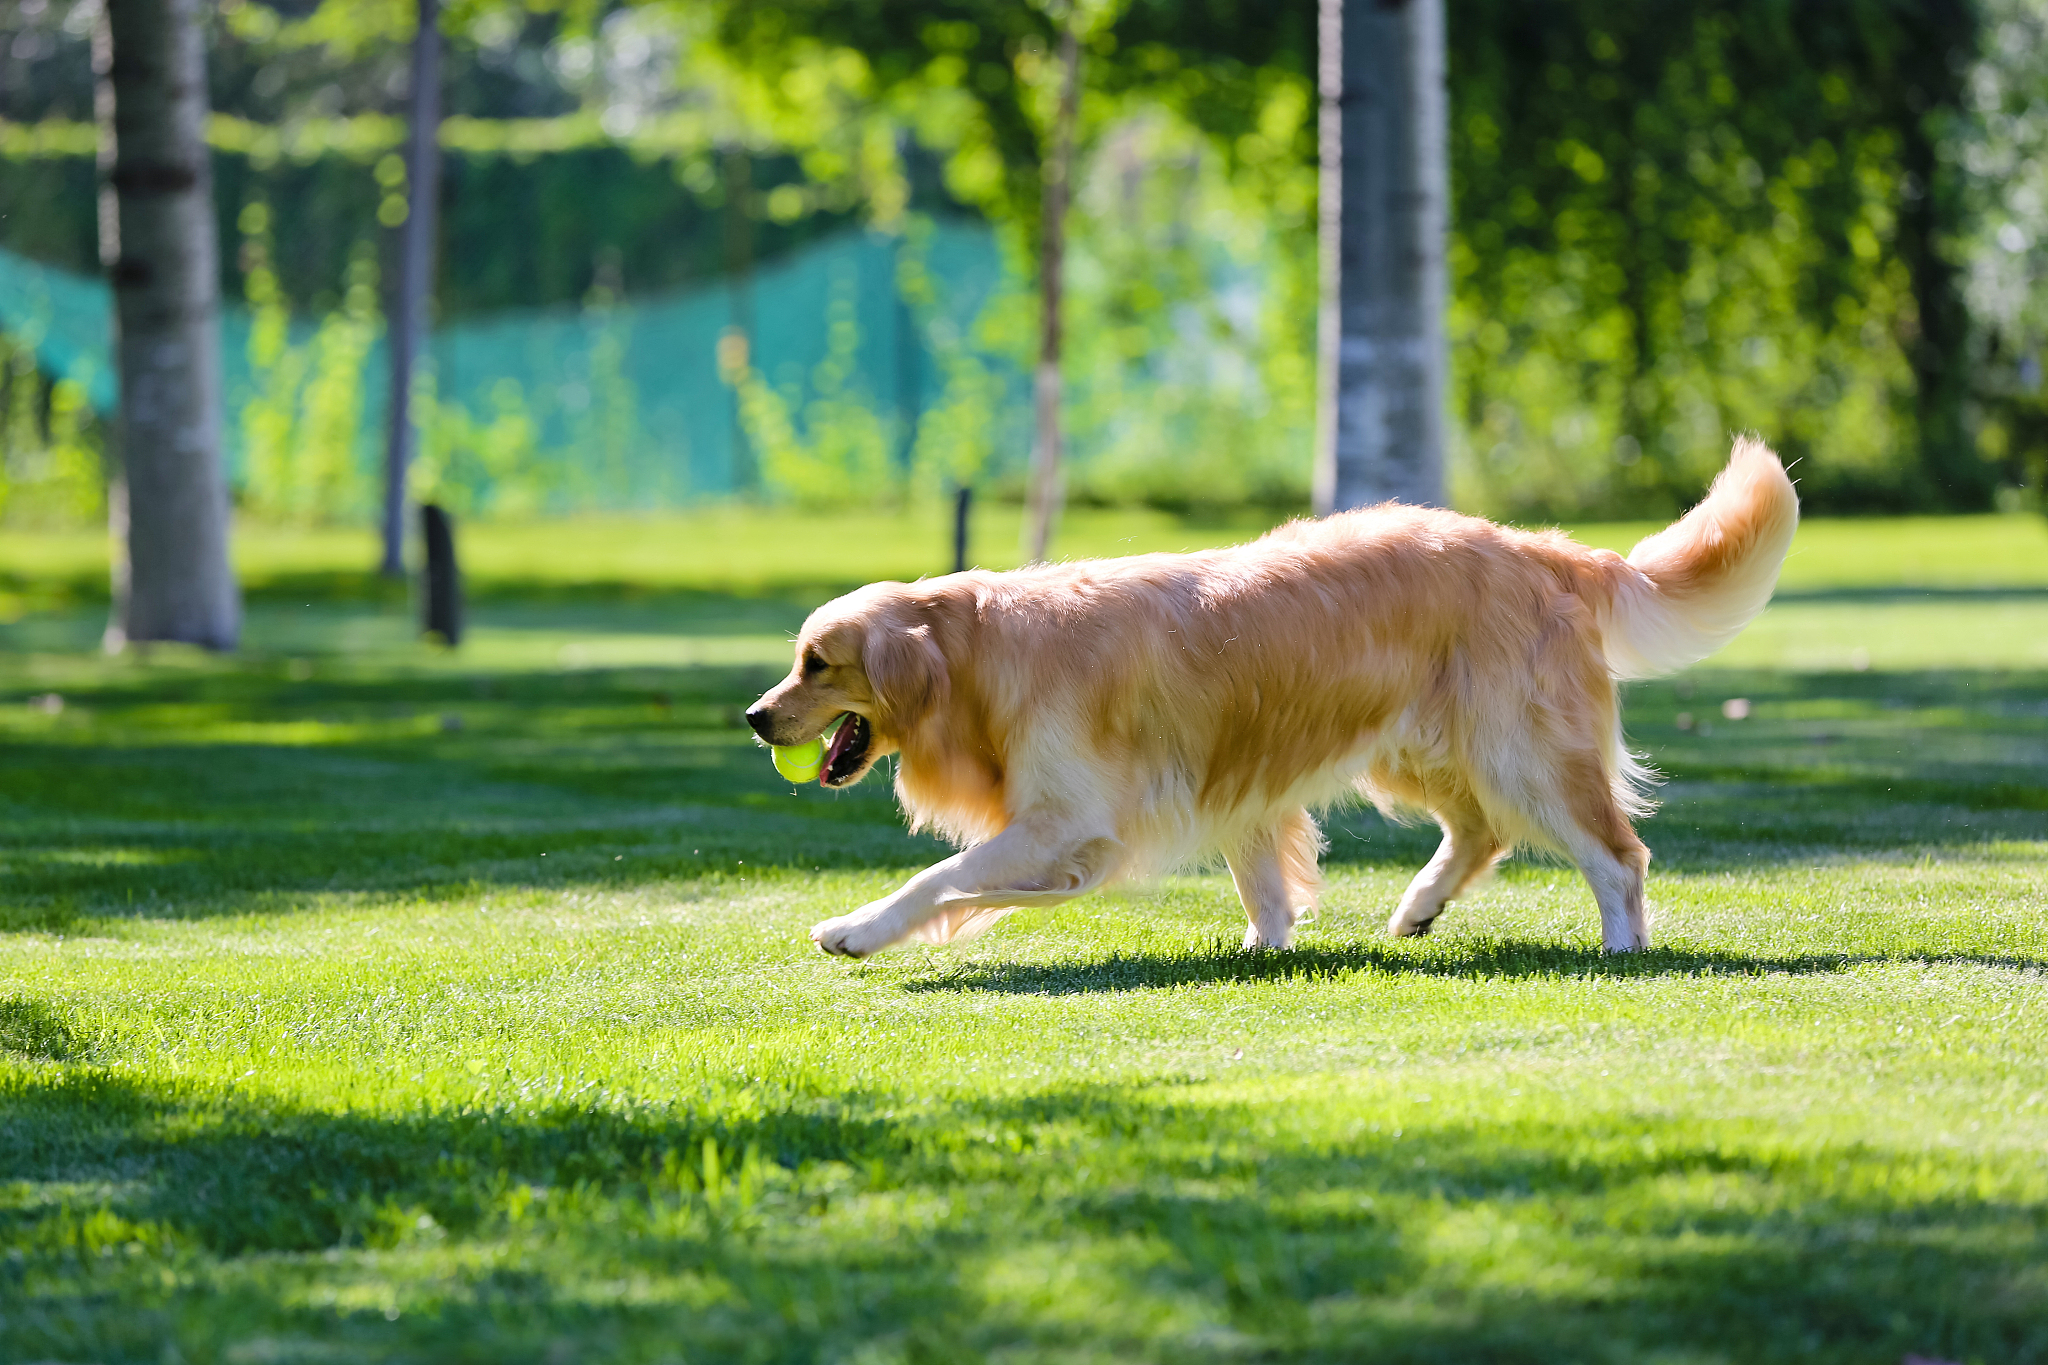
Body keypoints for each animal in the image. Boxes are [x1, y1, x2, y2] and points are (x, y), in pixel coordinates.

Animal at [749, 439, 1794, 961]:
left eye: (817, 662)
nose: (756, 717)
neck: (978, 651)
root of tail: (1546, 548)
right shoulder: (1235, 785)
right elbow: (1265, 883)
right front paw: (1264, 947)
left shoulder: (1067, 818)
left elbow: (937, 878)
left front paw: (854, 929)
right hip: (1417, 750)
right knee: (1480, 831)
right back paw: (1416, 908)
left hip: (1519, 750)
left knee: (1617, 854)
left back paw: (1622, 944)